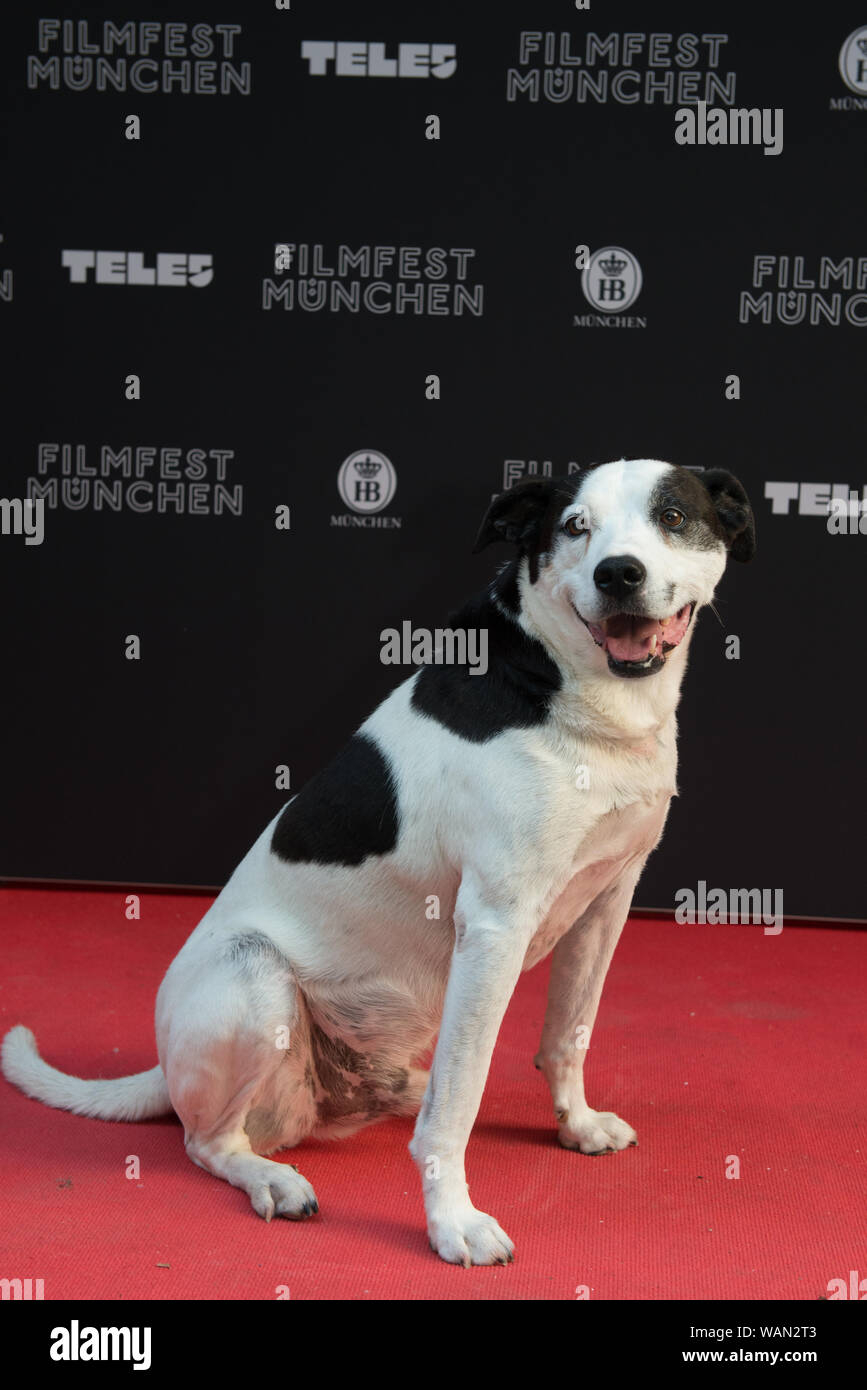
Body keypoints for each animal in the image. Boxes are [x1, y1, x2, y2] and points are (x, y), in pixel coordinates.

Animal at [1, 461, 750, 1267]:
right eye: (575, 527)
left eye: (673, 517)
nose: (619, 573)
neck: (577, 691)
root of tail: (165, 1070)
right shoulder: (494, 924)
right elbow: (455, 1109)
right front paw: (452, 1221)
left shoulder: (607, 898)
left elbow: (568, 1032)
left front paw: (574, 1124)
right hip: (254, 979)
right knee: (209, 1142)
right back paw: (270, 1177)